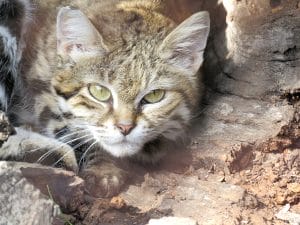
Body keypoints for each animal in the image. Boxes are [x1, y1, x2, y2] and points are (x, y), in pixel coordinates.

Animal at [0, 0, 210, 197]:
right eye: (99, 92)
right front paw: (104, 168)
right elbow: (76, 132)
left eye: (153, 96)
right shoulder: (42, 92)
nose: (125, 128)